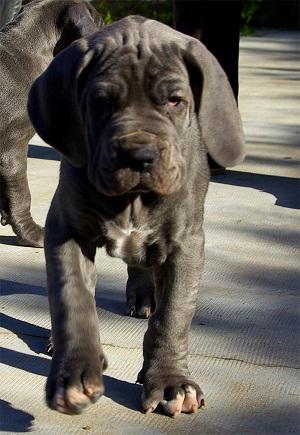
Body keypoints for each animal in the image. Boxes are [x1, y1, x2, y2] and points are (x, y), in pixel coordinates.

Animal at [27, 15, 244, 418]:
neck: (134, 199)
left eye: (175, 100)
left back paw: (144, 298)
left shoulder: (186, 243)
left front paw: (171, 382)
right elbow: (72, 299)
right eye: (101, 102)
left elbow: (173, 314)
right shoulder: (66, 230)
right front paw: (74, 375)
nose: (139, 155)